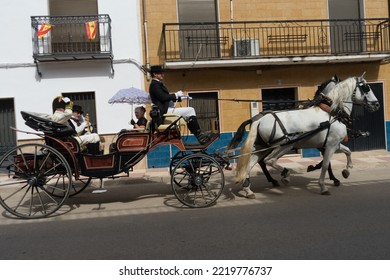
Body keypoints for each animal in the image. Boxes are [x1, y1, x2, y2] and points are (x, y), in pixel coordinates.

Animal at [235, 75, 378, 196]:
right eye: (366, 87)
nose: (377, 104)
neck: (332, 112)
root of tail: (260, 119)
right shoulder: (330, 145)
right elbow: (325, 164)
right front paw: (323, 186)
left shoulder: (335, 144)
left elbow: (348, 151)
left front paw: (347, 170)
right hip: (284, 146)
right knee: (269, 161)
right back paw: (285, 175)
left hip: (262, 147)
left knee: (250, 164)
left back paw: (248, 189)